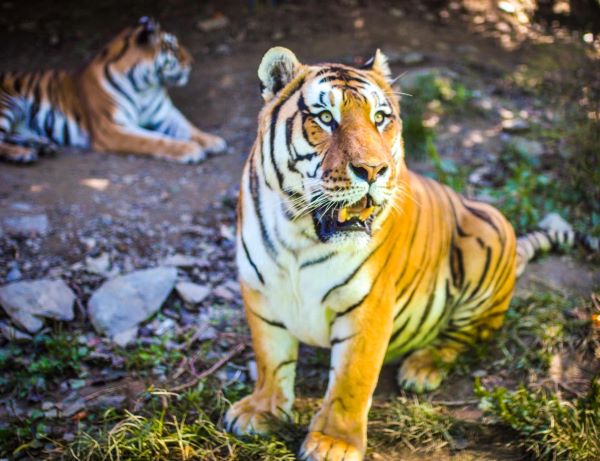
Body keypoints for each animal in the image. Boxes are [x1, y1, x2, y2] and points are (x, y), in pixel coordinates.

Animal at [0, 16, 225, 164]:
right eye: (173, 47)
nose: (192, 62)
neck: (144, 86)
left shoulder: (166, 114)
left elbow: (189, 128)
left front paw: (213, 141)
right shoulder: (111, 128)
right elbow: (151, 140)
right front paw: (189, 149)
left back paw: (41, 145)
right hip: (8, 104)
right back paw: (22, 154)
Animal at [226, 47, 600, 460]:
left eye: (379, 118)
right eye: (325, 118)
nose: (373, 170)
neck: (300, 234)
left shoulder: (368, 305)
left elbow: (351, 380)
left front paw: (334, 442)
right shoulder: (261, 292)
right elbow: (270, 360)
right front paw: (261, 411)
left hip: (489, 236)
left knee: (468, 335)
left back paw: (421, 369)